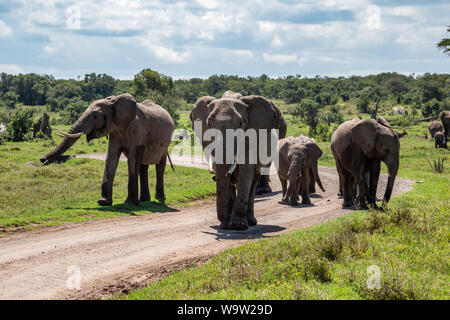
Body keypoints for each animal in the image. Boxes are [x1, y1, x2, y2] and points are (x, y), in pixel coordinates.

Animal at [40, 94, 174, 206]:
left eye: (95, 116)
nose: (41, 159)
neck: (113, 102)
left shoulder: (136, 131)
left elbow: (132, 160)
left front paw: (129, 203)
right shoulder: (114, 132)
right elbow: (111, 158)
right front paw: (103, 202)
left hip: (166, 142)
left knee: (159, 166)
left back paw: (160, 198)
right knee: (142, 166)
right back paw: (144, 200)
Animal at [190, 95, 284, 230]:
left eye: (240, 124)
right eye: (209, 123)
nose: (222, 220)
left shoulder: (250, 140)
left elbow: (245, 174)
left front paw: (237, 225)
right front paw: (225, 225)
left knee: (253, 181)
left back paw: (250, 221)